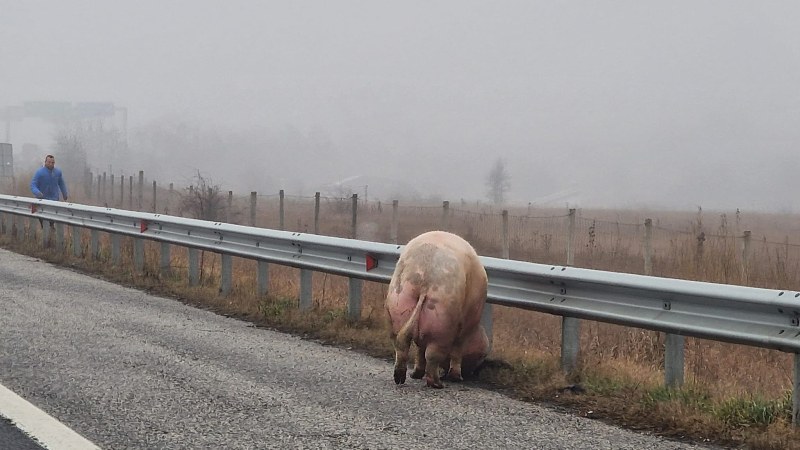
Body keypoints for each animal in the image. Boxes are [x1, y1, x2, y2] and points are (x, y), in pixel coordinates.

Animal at [386, 230, 490, 388]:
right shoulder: (464, 330)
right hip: (442, 319)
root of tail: (425, 279)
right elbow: (457, 350)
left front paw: (416, 375)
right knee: (433, 355)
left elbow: (419, 350)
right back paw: (437, 384)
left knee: (402, 344)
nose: (477, 371)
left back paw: (402, 377)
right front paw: (456, 377)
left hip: (397, 303)